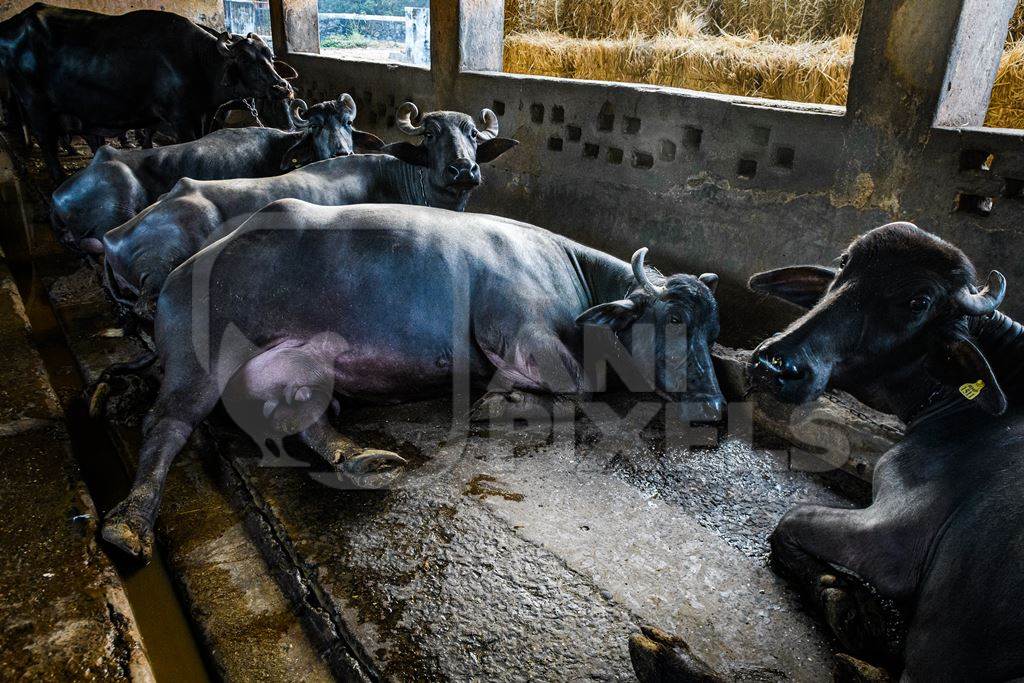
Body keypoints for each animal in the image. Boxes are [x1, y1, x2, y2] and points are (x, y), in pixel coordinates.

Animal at [0, 3, 292, 179]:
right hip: (35, 105)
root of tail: (13, 24)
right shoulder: (180, 119)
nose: (283, 87)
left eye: (269, 56)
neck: (197, 61)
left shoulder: (203, 114)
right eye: (246, 60)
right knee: (45, 140)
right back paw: (59, 175)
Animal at [101, 102, 520, 321]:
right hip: (160, 269)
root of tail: (113, 237)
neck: (402, 178)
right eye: (431, 135)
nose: (463, 169)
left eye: (472, 135)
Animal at [101, 200, 729, 565]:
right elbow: (576, 391)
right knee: (166, 424)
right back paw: (128, 525)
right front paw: (500, 402)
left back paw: (362, 459)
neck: (569, 274)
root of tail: (178, 272)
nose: (715, 410)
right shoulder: (525, 333)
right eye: (672, 320)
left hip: (292, 367)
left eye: (712, 326)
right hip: (200, 362)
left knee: (299, 419)